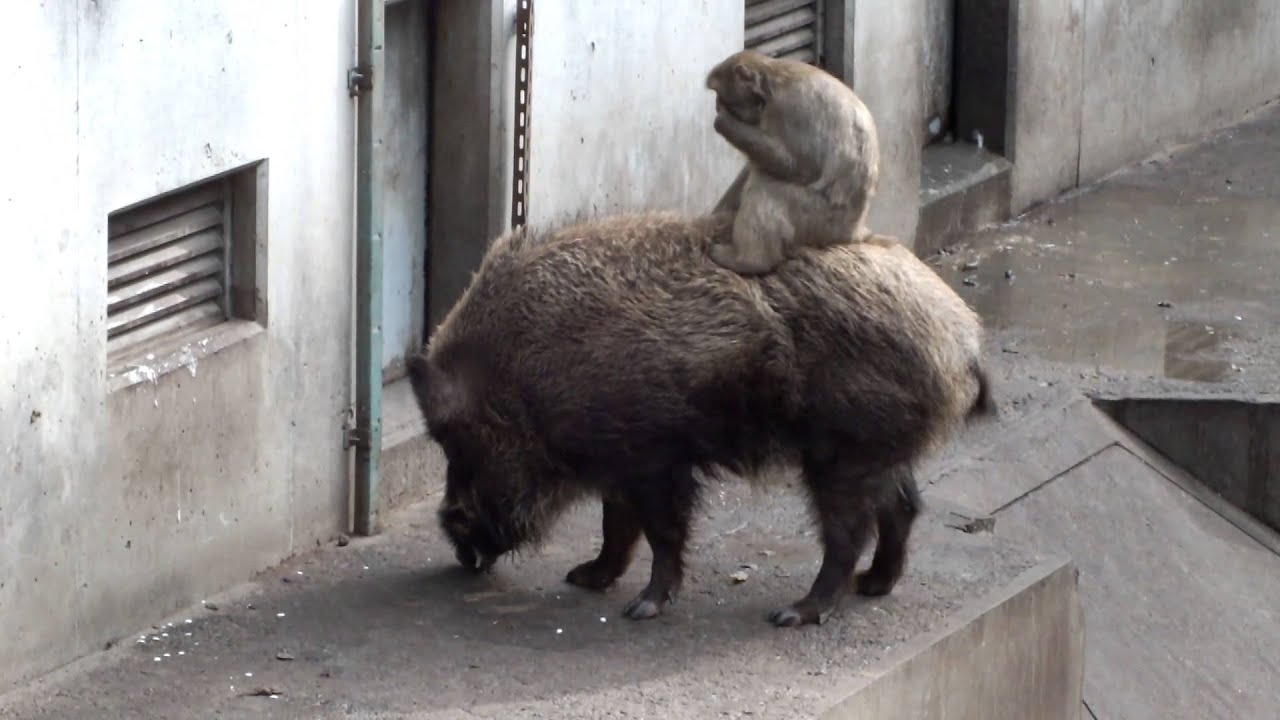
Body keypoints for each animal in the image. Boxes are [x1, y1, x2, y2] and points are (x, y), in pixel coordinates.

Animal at [407, 210, 992, 627]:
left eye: (455, 440)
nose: (454, 534)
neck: (521, 376)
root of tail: (963, 338)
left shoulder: (654, 459)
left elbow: (661, 531)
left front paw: (640, 609)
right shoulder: (619, 462)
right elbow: (617, 525)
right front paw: (583, 578)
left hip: (842, 454)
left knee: (850, 534)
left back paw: (793, 614)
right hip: (877, 451)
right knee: (904, 507)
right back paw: (873, 587)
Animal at [705, 50, 889, 275]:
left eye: (720, 95)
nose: (717, 106)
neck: (771, 83)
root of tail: (853, 232)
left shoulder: (790, 109)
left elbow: (801, 167)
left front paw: (723, 122)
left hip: (821, 220)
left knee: (767, 187)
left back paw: (749, 261)